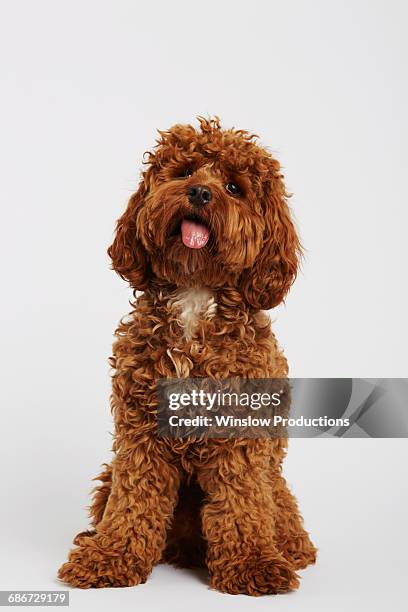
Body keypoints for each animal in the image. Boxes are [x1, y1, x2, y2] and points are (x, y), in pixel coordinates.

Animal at [58, 117, 318, 596]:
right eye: (184, 173)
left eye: (234, 187)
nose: (199, 192)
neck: (196, 296)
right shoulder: (141, 433)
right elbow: (134, 501)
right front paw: (110, 557)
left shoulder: (241, 436)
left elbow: (241, 504)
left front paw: (252, 563)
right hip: (109, 476)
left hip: (276, 484)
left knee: (277, 509)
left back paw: (290, 548)